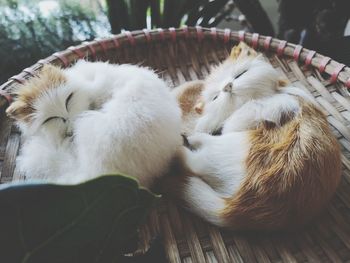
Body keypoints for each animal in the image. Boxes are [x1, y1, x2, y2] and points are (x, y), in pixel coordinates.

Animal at [170, 42, 342, 231]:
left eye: (240, 74)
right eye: (216, 97)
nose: (227, 86)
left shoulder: (280, 102)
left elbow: (244, 115)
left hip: (225, 146)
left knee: (192, 160)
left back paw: (182, 144)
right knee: (193, 159)